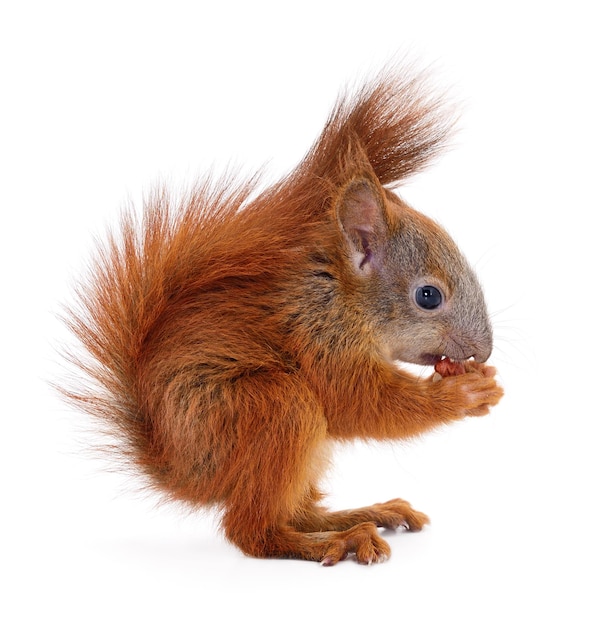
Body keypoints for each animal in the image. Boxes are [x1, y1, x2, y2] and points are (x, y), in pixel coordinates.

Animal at [62, 66, 502, 564]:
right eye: (428, 296)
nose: (484, 350)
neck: (340, 297)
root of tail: (187, 470)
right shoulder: (318, 336)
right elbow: (362, 403)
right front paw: (464, 393)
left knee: (296, 511)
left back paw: (364, 514)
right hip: (273, 408)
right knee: (252, 529)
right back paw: (335, 540)